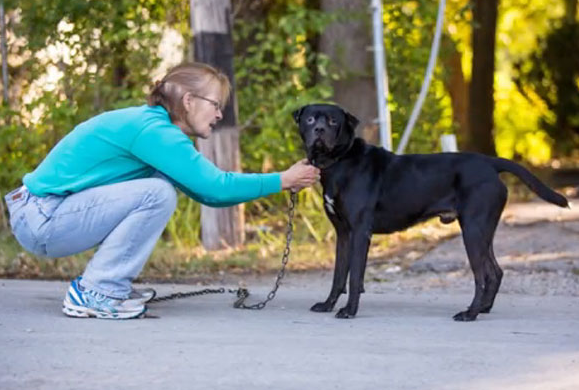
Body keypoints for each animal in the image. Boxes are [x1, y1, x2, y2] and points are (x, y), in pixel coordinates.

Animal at [294, 103, 572, 320]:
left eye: (333, 120)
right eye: (310, 119)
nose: (319, 130)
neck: (339, 162)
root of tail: (490, 162)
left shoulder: (361, 232)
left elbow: (354, 278)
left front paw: (349, 311)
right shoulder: (343, 234)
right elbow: (338, 275)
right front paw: (328, 305)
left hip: (472, 230)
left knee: (483, 274)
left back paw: (470, 314)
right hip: (484, 231)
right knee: (496, 272)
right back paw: (483, 308)